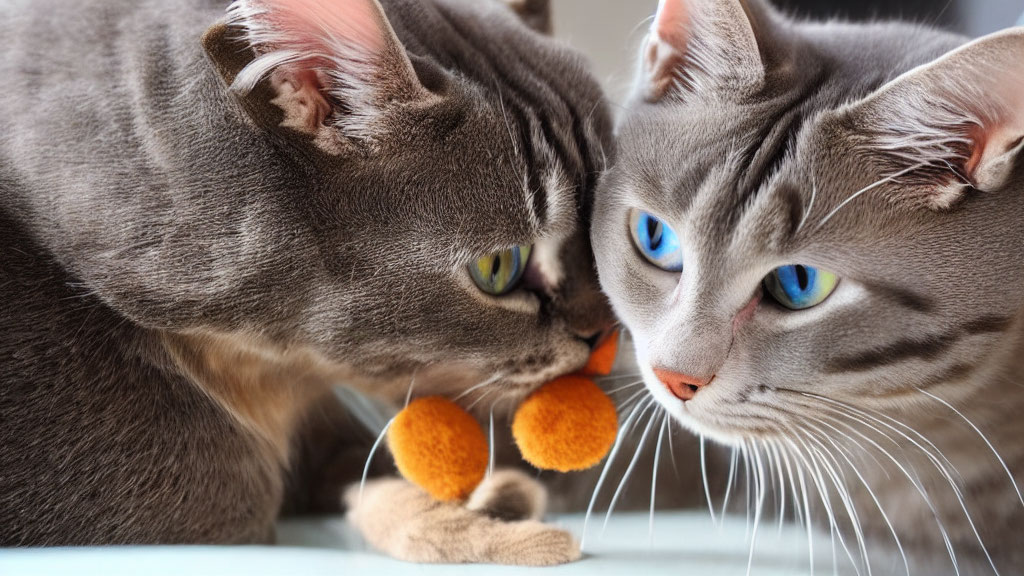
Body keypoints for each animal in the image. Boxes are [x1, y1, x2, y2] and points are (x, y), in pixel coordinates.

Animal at [0, 0, 610, 561]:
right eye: (500, 268)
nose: (604, 332)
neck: (274, 373)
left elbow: (371, 478)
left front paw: (483, 503)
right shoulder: (220, 503)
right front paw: (500, 535)